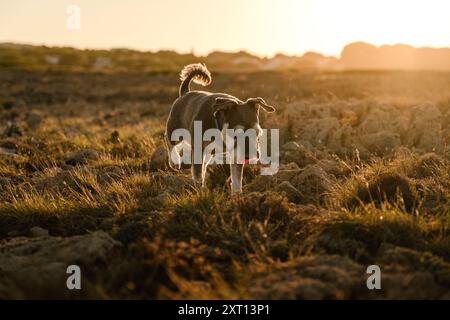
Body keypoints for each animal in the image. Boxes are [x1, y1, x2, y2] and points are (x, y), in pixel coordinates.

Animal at [164, 62, 274, 192]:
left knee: (204, 164)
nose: (250, 156)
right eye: (236, 134)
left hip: (208, 152)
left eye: (257, 133)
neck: (220, 130)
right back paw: (175, 161)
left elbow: (237, 179)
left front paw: (237, 195)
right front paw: (199, 190)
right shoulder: (198, 149)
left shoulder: (236, 154)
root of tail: (184, 93)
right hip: (175, 130)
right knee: (169, 140)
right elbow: (197, 174)